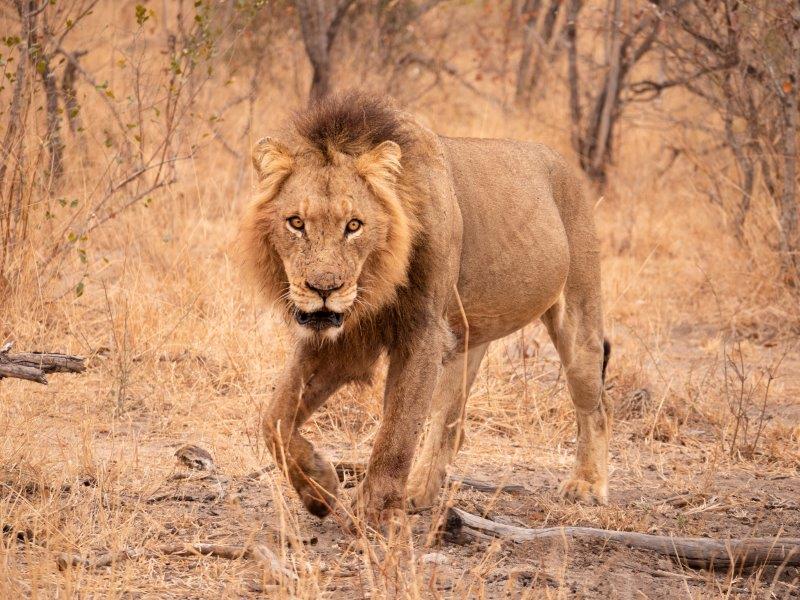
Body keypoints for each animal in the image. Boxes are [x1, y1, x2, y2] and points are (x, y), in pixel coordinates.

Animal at [241, 91, 608, 528]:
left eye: (354, 225)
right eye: (295, 222)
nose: (324, 289)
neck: (376, 284)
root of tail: (563, 162)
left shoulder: (423, 333)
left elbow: (398, 429)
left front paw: (376, 512)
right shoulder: (346, 338)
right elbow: (274, 418)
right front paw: (319, 488)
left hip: (578, 319)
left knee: (595, 405)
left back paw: (587, 484)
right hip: (466, 341)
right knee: (450, 423)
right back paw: (419, 490)